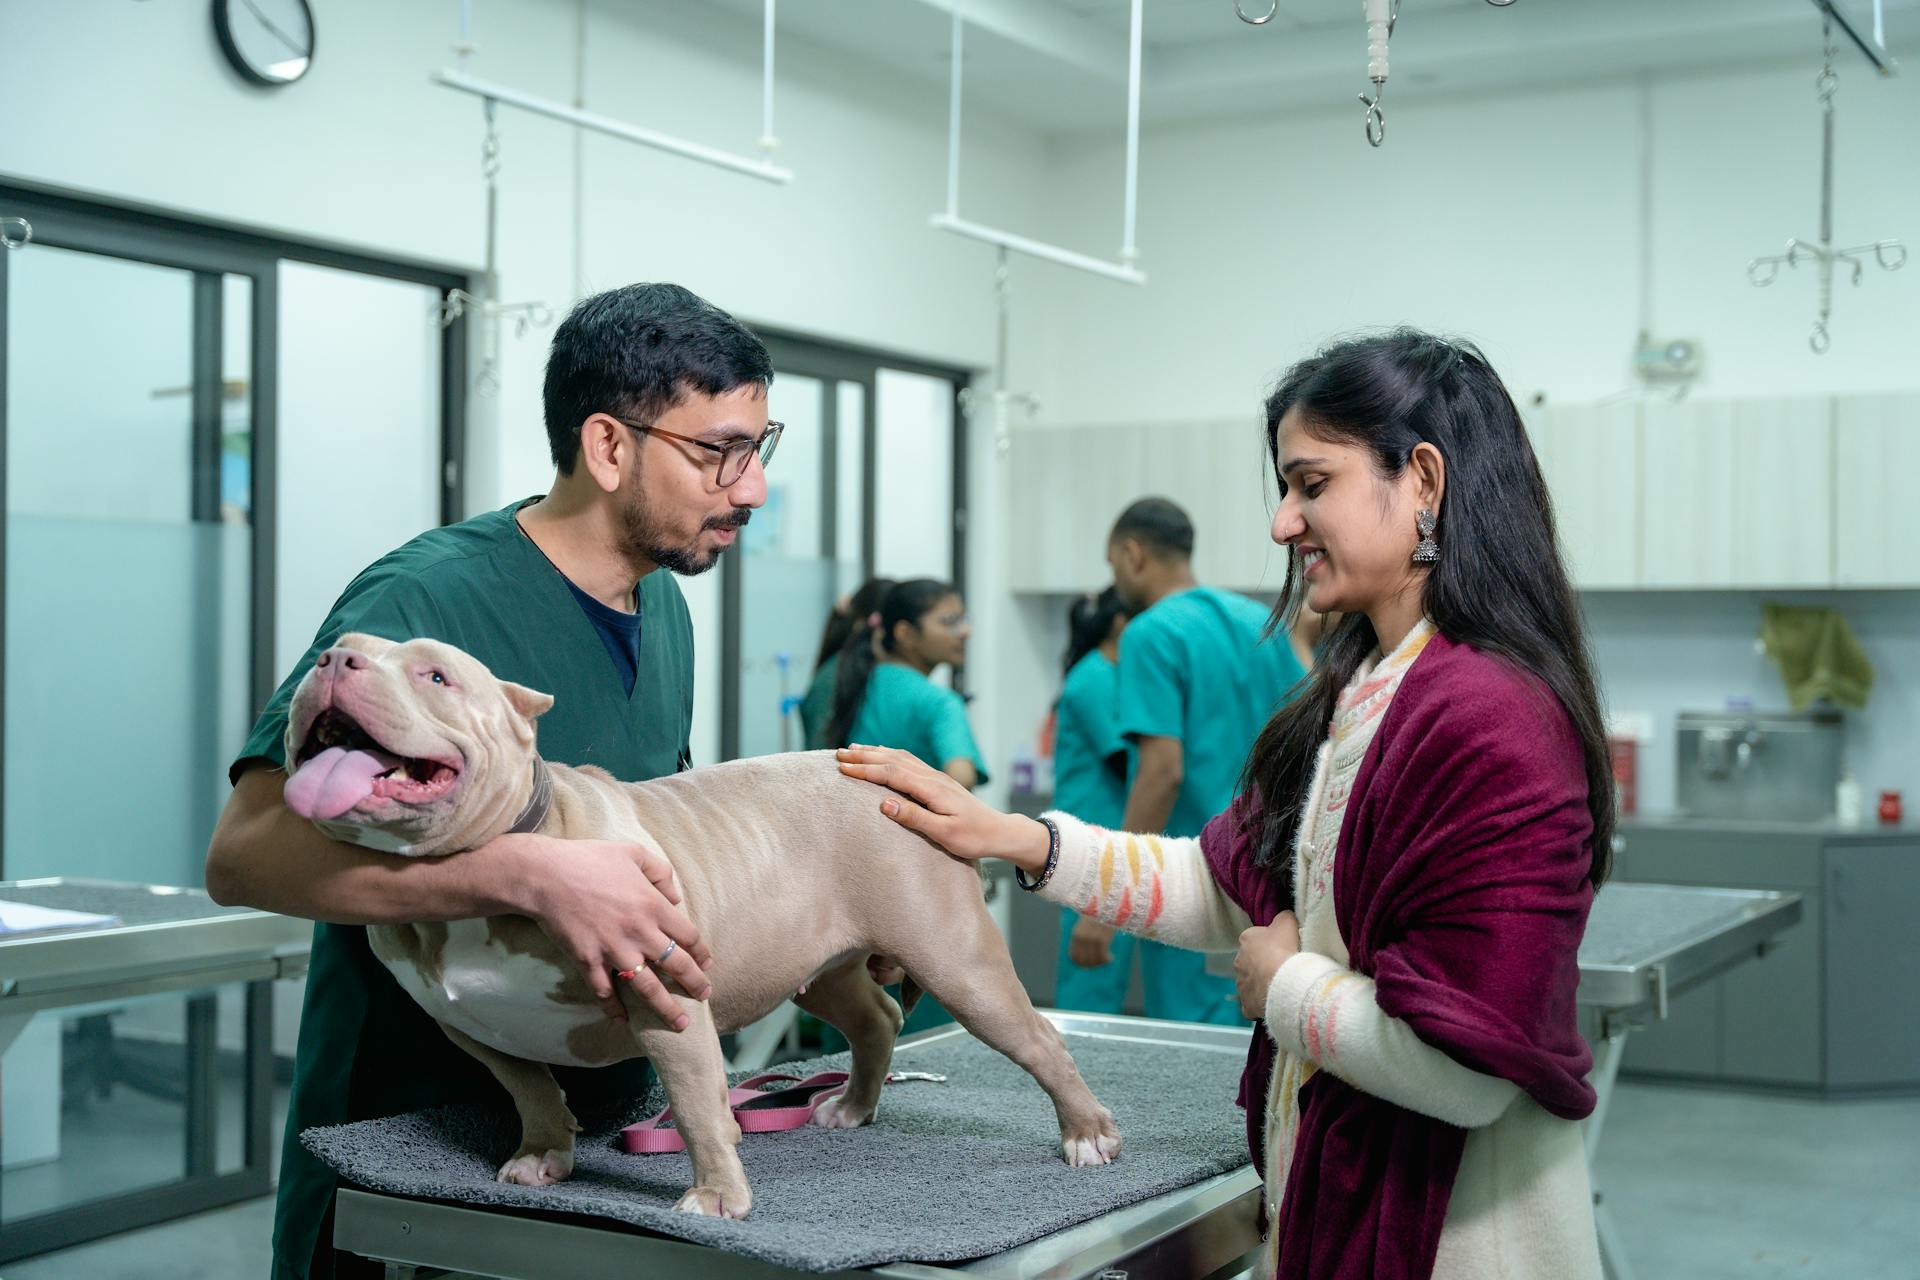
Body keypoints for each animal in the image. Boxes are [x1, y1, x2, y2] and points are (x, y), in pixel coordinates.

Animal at [286, 637, 1121, 1220]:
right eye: (341, 647)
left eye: (436, 676)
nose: (333, 656)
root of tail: (907, 778)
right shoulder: (473, 1027)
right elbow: (531, 1088)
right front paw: (544, 1153)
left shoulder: (668, 1002)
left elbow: (694, 1107)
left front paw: (718, 1196)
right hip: (817, 970)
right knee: (876, 1018)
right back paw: (853, 1105)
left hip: (957, 961)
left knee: (1039, 1040)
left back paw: (1087, 1134)